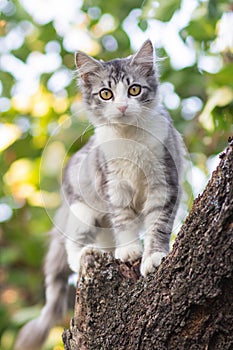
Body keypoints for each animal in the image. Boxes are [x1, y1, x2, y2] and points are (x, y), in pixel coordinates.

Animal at [15, 40, 185, 350]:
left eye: (134, 90)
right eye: (106, 94)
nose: (121, 106)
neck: (129, 138)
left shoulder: (165, 182)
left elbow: (158, 225)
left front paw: (153, 257)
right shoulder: (114, 185)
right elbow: (124, 221)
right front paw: (130, 250)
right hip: (82, 211)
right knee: (72, 248)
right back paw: (88, 252)